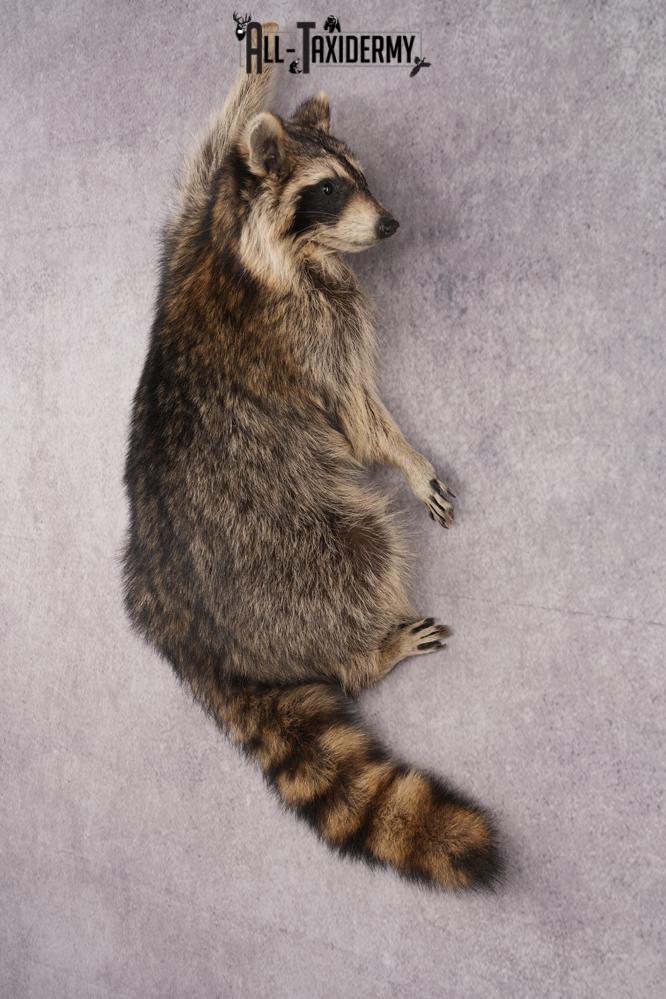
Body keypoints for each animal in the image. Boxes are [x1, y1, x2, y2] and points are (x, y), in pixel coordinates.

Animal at [123, 25, 500, 890]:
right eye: (327, 189)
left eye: (360, 173)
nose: (390, 224)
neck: (247, 249)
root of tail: (186, 633)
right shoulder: (300, 334)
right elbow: (356, 414)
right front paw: (404, 455)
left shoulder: (191, 228)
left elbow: (214, 138)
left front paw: (257, 66)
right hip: (292, 554)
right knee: (362, 552)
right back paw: (371, 650)